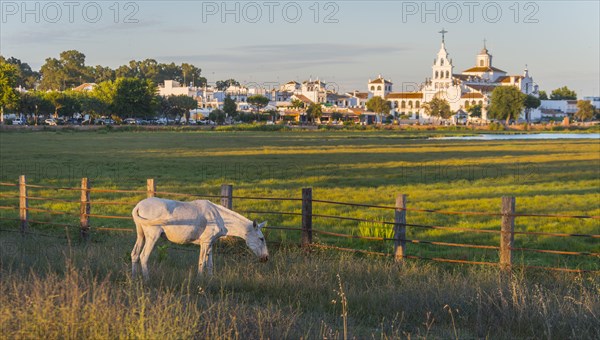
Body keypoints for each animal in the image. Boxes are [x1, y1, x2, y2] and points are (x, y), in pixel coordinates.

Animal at [133, 197, 270, 278]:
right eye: (261, 239)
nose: (266, 258)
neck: (220, 217)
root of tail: (138, 206)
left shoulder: (210, 243)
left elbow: (209, 264)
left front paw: (210, 280)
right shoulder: (205, 242)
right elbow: (201, 263)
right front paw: (199, 281)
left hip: (141, 235)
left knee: (135, 254)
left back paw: (134, 278)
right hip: (152, 236)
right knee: (143, 256)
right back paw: (147, 280)